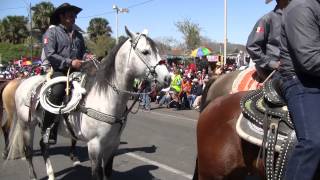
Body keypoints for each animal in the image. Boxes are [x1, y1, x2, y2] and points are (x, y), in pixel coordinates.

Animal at [7, 27, 171, 180]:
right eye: (145, 52)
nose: (168, 78)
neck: (106, 97)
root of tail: (23, 82)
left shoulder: (113, 144)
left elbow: (108, 172)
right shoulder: (94, 146)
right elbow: (97, 174)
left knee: (43, 145)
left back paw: (51, 175)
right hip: (26, 125)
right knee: (29, 151)